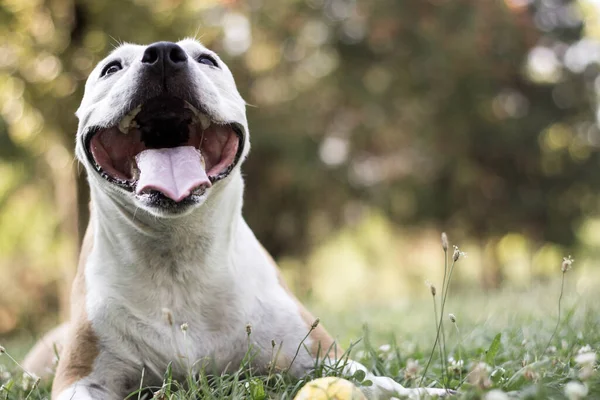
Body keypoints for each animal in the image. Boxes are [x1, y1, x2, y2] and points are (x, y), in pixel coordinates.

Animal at [23, 38, 452, 400]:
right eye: (112, 68)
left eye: (207, 60)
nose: (161, 53)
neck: (177, 256)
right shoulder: (81, 376)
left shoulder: (321, 354)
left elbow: (378, 382)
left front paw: (425, 391)